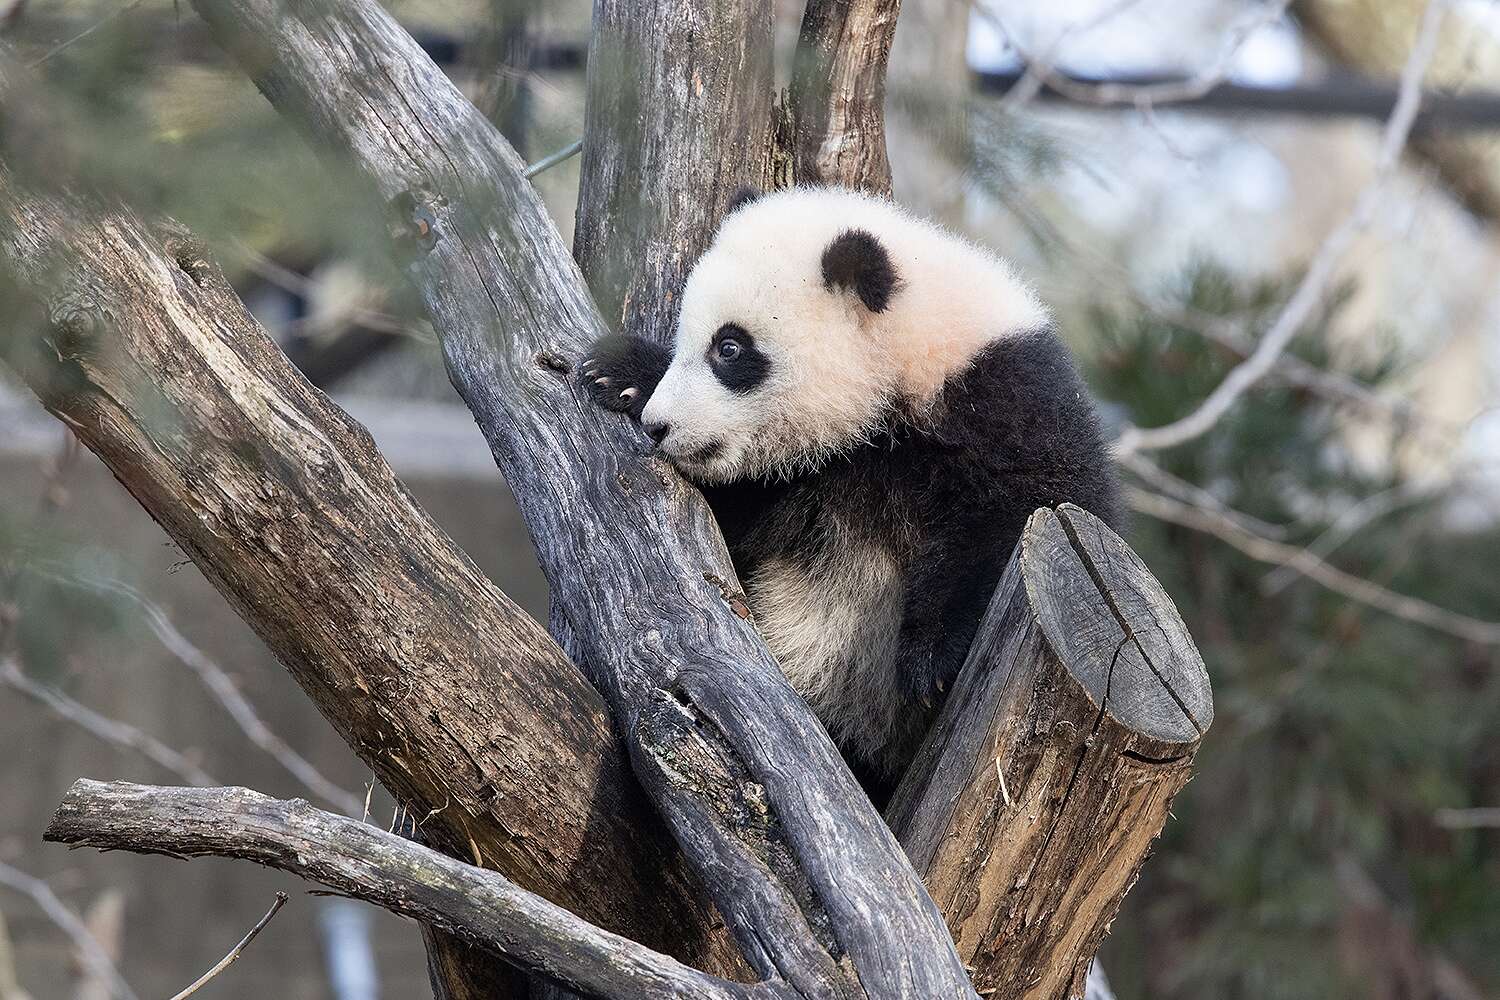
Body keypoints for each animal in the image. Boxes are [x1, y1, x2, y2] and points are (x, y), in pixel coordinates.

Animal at [582, 186, 1121, 805]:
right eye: (686, 339)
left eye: (730, 348)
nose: (659, 426)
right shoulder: (796, 485)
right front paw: (620, 370)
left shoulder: (1009, 407)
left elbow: (1024, 516)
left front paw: (932, 658)